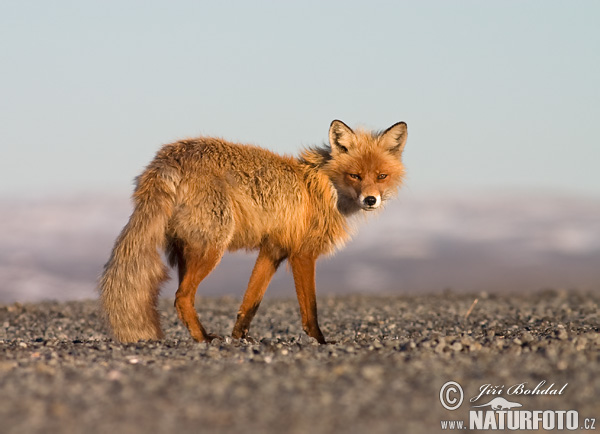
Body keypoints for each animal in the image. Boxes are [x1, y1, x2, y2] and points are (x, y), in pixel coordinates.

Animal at [99, 118, 408, 342]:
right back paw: (203, 339)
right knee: (181, 298)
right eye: (354, 176)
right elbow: (310, 308)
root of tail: (167, 157)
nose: (371, 200)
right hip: (212, 248)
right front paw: (320, 342)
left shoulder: (272, 250)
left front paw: (239, 338)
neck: (321, 187)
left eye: (381, 176)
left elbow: (250, 302)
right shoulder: (302, 253)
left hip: (187, 250)